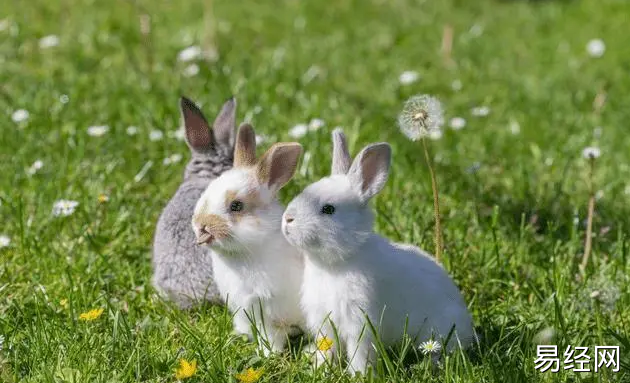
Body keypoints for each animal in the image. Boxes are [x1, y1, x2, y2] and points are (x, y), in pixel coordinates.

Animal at [284, 129, 476, 376]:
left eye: (328, 209)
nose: (287, 219)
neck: (336, 262)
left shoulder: (361, 321)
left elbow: (360, 351)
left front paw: (359, 375)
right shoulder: (325, 322)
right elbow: (328, 347)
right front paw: (320, 367)